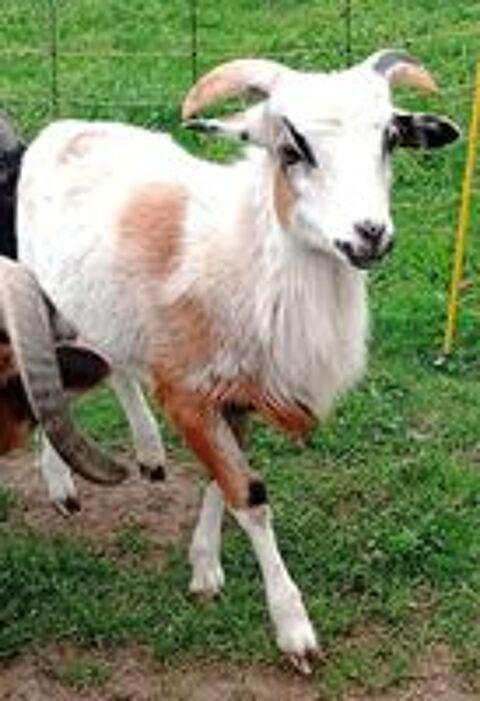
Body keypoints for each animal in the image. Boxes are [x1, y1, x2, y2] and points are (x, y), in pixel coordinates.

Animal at [16, 49, 460, 671]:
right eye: (292, 148)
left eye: (390, 139)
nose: (370, 235)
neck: (248, 261)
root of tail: (63, 127)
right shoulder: (188, 393)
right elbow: (249, 496)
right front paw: (295, 631)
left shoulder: (237, 396)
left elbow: (221, 482)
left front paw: (205, 569)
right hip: (42, 296)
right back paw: (62, 485)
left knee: (116, 367)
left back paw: (148, 453)